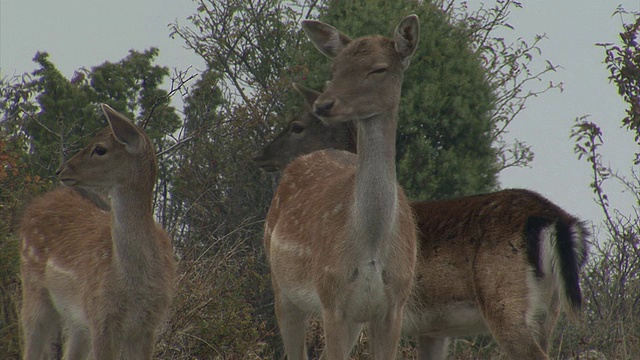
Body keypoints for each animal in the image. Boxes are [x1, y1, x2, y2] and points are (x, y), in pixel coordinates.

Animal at [19, 104, 176, 360]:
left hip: (76, 319)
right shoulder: (101, 316)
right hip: (34, 291)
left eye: (100, 149)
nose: (61, 170)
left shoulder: (148, 324)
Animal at [254, 81, 592, 360]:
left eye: (296, 125)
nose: (260, 156)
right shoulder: (432, 329)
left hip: (506, 302)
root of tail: (558, 221)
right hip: (549, 311)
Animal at [262, 15, 422, 358]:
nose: (324, 105)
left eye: (379, 69)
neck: (371, 245)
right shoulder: (332, 298)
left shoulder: (394, 305)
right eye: (335, 68)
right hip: (281, 286)